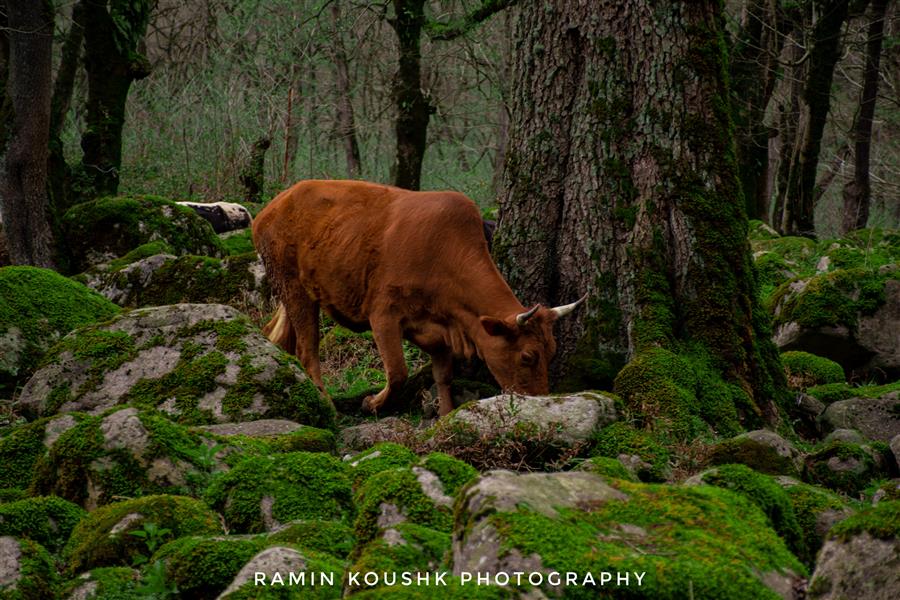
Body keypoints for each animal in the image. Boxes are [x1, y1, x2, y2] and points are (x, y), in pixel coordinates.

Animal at [253, 179, 588, 418]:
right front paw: (372, 403)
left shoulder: (439, 328)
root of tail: (277, 203)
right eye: (527, 356)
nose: (539, 401)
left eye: (552, 351)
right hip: (295, 288)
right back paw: (327, 405)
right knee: (307, 349)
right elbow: (398, 372)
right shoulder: (383, 315)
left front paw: (446, 414)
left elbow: (444, 375)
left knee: (278, 336)